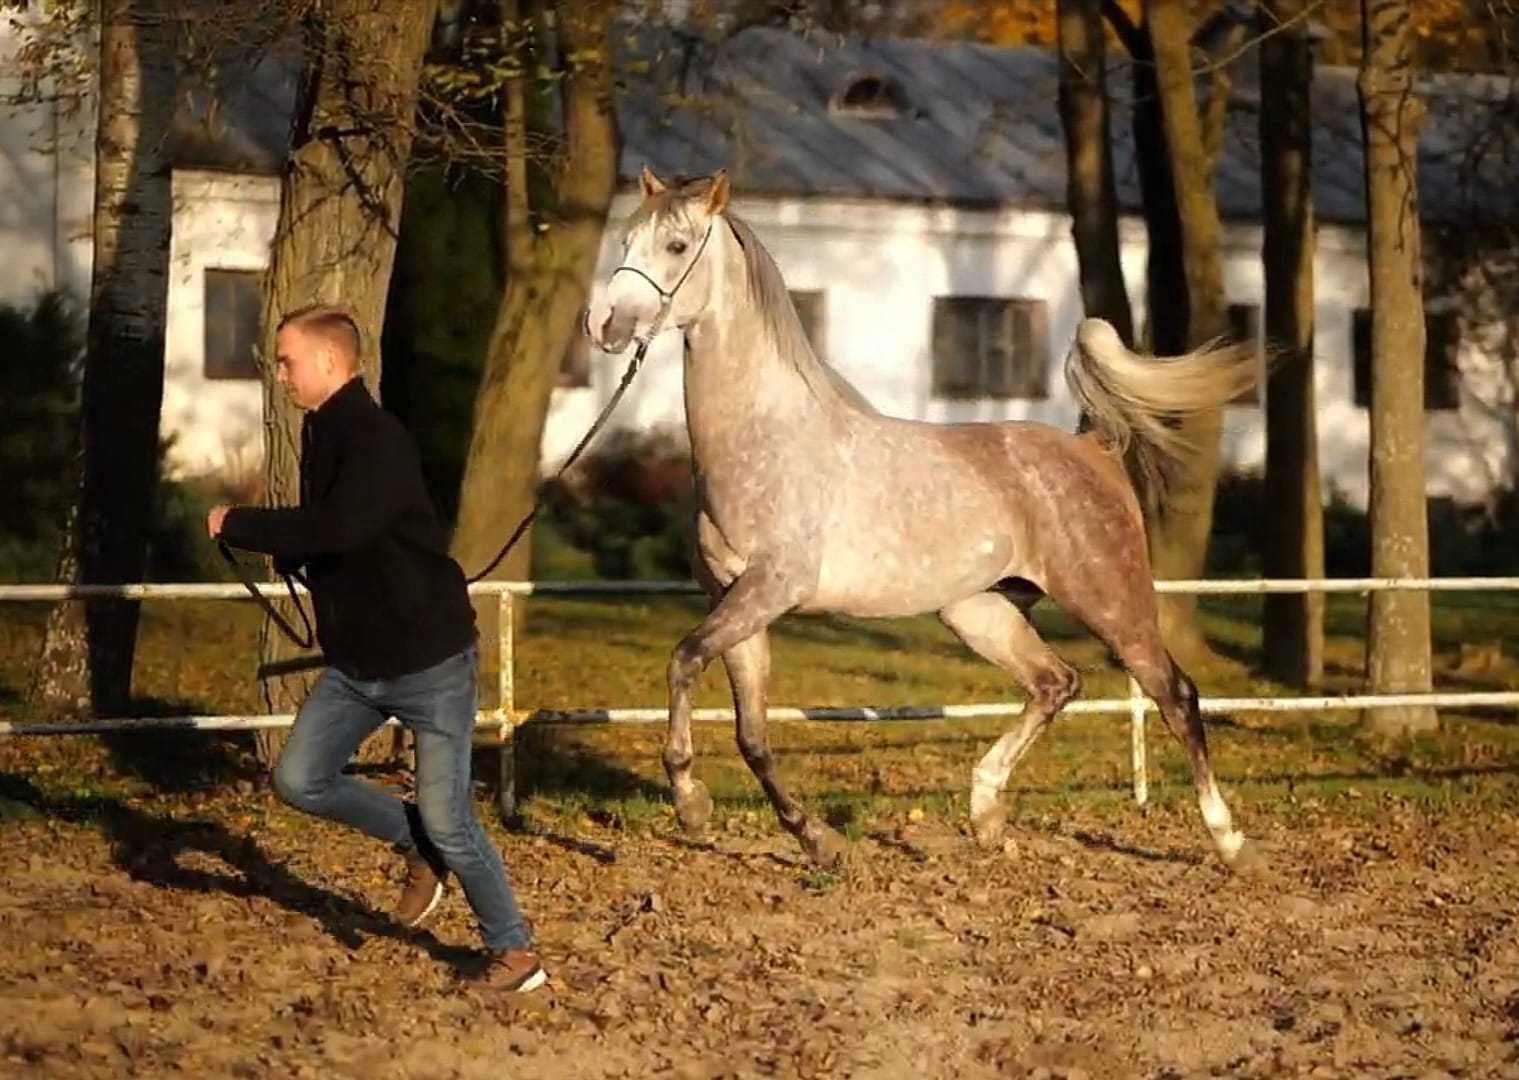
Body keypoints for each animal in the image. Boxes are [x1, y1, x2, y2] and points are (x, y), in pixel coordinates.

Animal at [586, 167, 1260, 870]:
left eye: (677, 245)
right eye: (627, 239)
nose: (603, 323)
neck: (764, 439)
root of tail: (1093, 449)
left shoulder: (769, 591)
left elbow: (683, 660)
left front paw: (691, 802)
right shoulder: (735, 601)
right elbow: (751, 732)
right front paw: (812, 836)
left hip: (1114, 605)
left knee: (1175, 696)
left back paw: (1229, 841)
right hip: (979, 611)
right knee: (1055, 683)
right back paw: (986, 812)